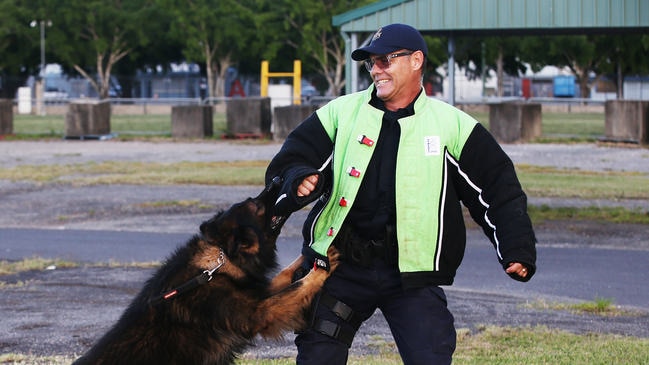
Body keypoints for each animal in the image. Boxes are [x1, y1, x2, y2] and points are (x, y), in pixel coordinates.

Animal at [74, 180, 340, 364]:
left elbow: (286, 275)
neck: (220, 259)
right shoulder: (258, 312)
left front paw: (311, 255)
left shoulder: (255, 291)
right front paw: (320, 269)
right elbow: (297, 287)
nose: (275, 180)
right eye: (255, 205)